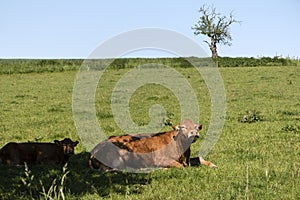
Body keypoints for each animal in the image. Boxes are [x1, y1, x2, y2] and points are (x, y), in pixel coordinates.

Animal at [88, 119, 217, 171]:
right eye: (183, 127)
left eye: (196, 127)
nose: (194, 133)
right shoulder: (161, 159)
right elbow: (181, 167)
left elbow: (199, 158)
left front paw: (212, 164)